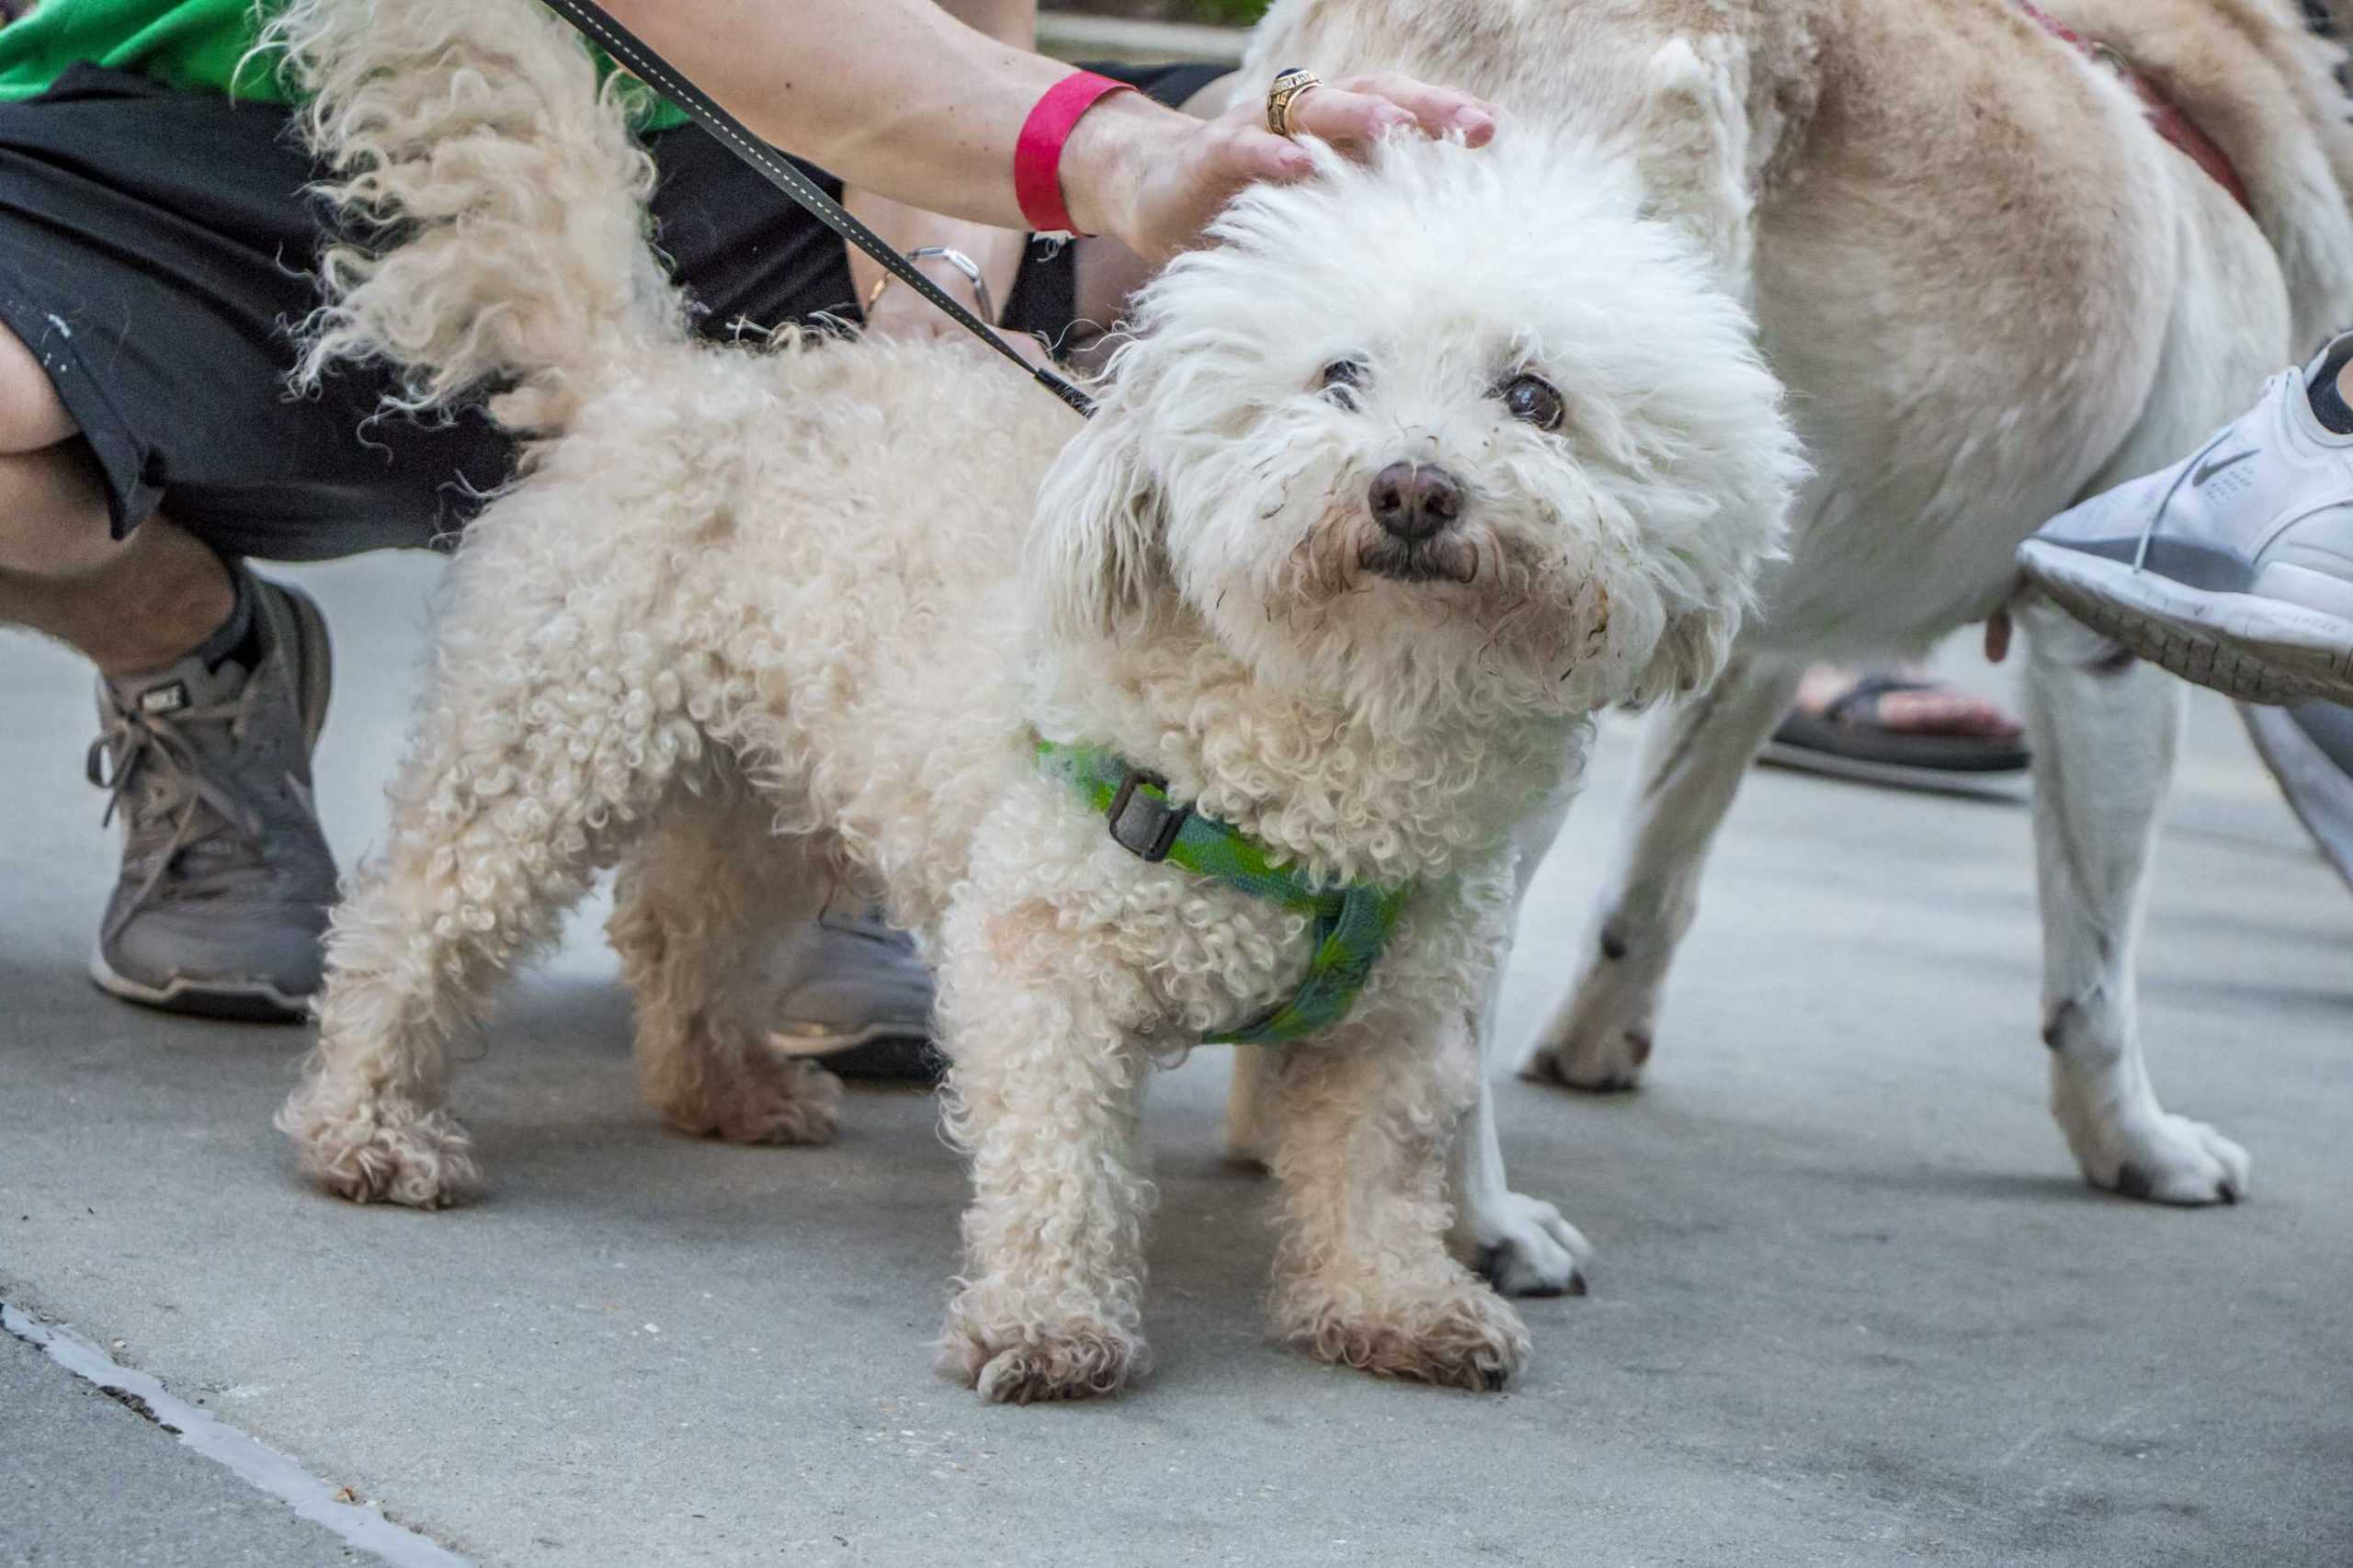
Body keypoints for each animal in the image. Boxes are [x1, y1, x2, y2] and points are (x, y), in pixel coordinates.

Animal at [267, 0, 1788, 1393]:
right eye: (1338, 378)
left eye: (1533, 398)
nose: (1413, 489)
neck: (1332, 728)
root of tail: (658, 381)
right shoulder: (1045, 952)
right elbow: (1064, 1154)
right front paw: (1052, 1321)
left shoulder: (1400, 1018)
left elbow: (1378, 1166)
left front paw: (1394, 1301)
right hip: (548, 742)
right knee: (414, 926)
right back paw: (367, 1126)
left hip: (770, 786)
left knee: (685, 929)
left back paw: (724, 1087)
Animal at [1251, 0, 2353, 1280]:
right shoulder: (2104, 650)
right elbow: (2096, 967)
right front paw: (2135, 1145)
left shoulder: (1745, 646)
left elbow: (1656, 876)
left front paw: (1590, 1041)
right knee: (1456, 984)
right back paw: (1479, 1217)